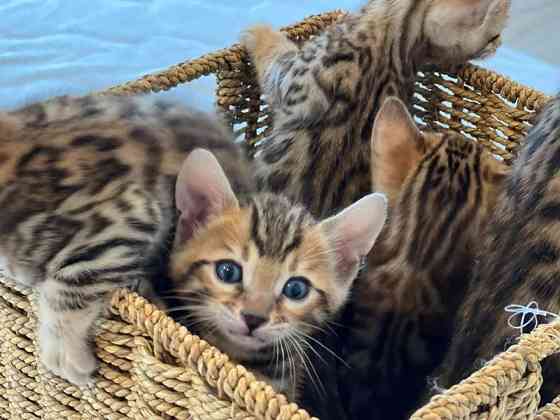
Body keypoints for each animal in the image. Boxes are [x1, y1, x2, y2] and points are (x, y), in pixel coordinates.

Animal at [242, 0, 512, 218]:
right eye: (493, 36)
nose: (498, 44)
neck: (394, 42)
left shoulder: (290, 75)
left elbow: (276, 54)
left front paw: (256, 30)